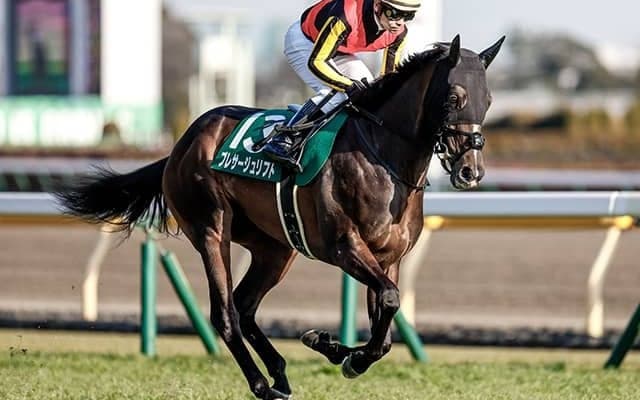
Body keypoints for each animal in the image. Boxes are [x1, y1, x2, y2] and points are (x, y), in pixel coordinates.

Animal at [56, 35, 504, 400]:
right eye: (454, 98)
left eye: (488, 100)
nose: (471, 171)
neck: (384, 157)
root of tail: (181, 145)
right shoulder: (345, 248)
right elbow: (391, 301)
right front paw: (342, 353)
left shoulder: (388, 257)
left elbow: (387, 321)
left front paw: (335, 349)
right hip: (211, 229)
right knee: (225, 313)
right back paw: (261, 385)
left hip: (274, 247)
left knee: (245, 304)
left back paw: (280, 374)